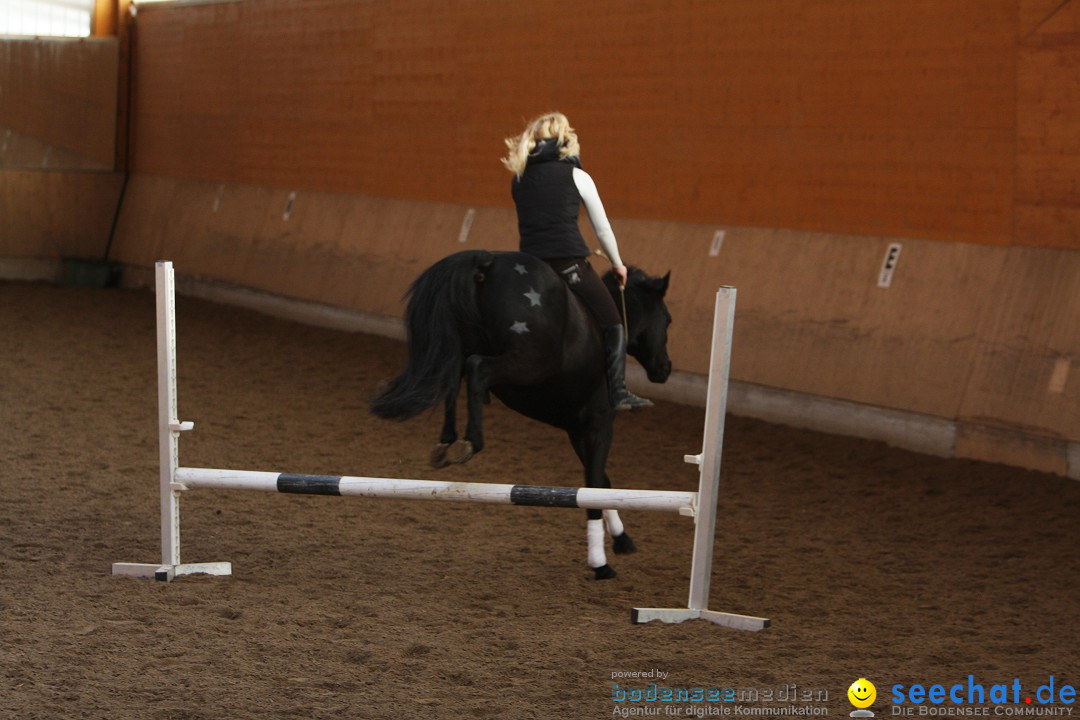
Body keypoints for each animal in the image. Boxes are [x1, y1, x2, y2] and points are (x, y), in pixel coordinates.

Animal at [375, 250, 669, 578]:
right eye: (667, 320)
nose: (665, 369)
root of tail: (487, 261)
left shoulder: (577, 430)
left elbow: (601, 484)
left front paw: (621, 538)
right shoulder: (598, 424)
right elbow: (594, 484)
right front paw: (600, 563)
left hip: (461, 342)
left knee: (454, 372)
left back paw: (447, 441)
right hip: (525, 361)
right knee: (476, 368)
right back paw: (471, 441)